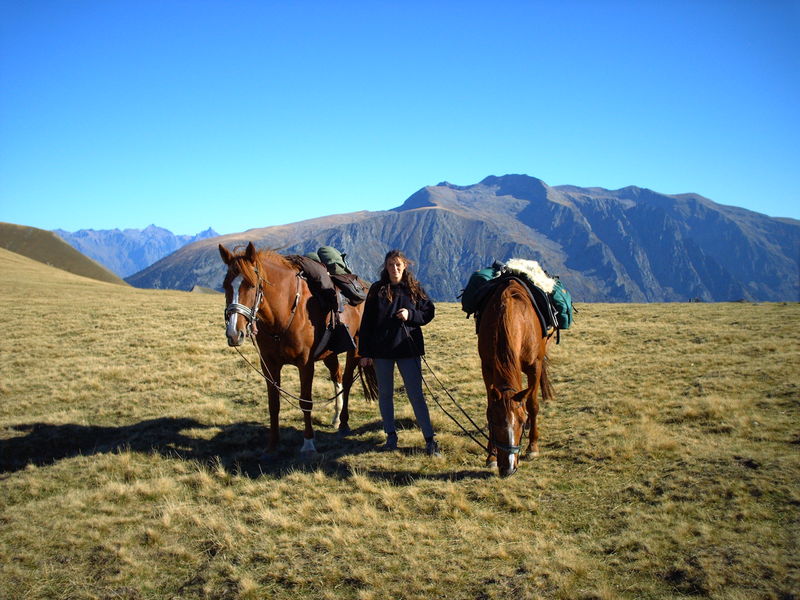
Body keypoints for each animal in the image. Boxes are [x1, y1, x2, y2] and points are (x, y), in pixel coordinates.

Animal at [219, 242, 377, 456]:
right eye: (225, 285)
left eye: (251, 285)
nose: (234, 333)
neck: (283, 314)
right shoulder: (269, 365)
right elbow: (273, 404)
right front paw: (272, 445)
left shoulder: (305, 364)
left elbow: (305, 401)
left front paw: (308, 443)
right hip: (330, 353)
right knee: (336, 375)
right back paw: (336, 418)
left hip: (356, 347)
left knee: (346, 380)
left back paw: (344, 423)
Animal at [477, 277, 554, 477]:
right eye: (496, 423)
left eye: (520, 421)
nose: (509, 468)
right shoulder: (487, 367)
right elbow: (489, 407)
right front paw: (491, 457)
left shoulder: (534, 366)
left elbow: (532, 405)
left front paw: (533, 448)